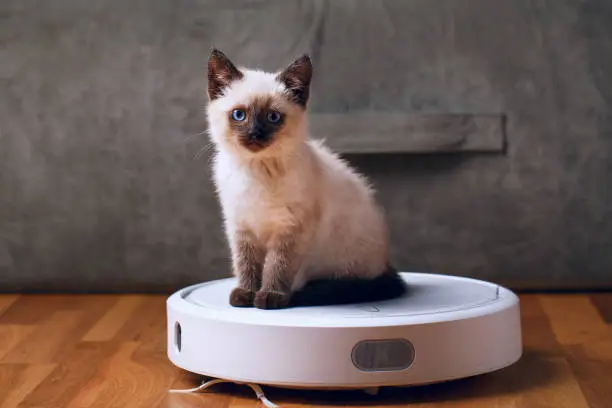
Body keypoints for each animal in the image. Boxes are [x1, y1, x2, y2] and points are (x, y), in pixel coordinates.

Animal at [206, 48, 406, 310]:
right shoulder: (241, 227)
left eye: (273, 117)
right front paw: (245, 295)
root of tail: (384, 264)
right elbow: (245, 265)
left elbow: (276, 267)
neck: (257, 169)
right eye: (239, 115)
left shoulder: (291, 229)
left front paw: (269, 297)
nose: (255, 134)